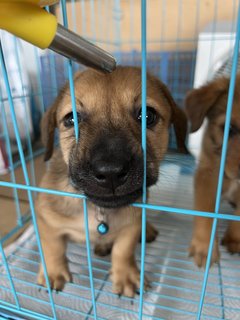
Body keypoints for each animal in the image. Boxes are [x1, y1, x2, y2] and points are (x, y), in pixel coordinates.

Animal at [37, 65, 188, 298]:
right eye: (72, 119)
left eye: (148, 115)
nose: (110, 173)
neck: (100, 211)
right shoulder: (45, 218)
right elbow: (53, 247)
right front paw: (53, 272)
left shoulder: (131, 224)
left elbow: (123, 250)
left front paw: (126, 275)